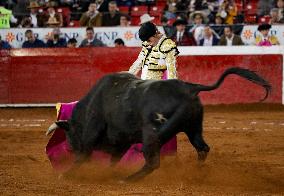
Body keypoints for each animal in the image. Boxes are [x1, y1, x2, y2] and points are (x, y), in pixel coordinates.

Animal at [46, 67, 270, 182]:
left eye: (69, 134)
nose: (69, 148)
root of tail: (190, 88)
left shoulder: (93, 129)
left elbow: (85, 153)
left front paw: (67, 174)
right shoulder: (123, 140)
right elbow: (114, 159)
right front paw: (108, 173)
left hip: (151, 134)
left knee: (153, 161)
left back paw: (128, 179)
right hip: (193, 128)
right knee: (203, 148)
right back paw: (197, 173)